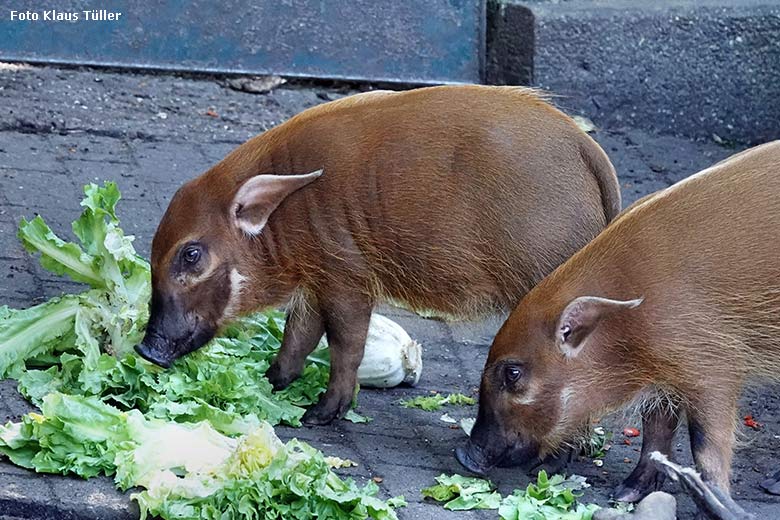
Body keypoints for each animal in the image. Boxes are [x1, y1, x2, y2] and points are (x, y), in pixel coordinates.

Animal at [136, 85, 620, 424]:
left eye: (191, 255)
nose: (145, 349)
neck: (285, 216)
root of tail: (589, 149)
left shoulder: (346, 275)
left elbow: (345, 342)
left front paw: (319, 415)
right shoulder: (315, 280)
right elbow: (298, 335)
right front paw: (271, 383)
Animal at [458, 140, 780, 506]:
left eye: (513, 373)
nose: (464, 456)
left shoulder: (712, 365)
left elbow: (706, 443)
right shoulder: (663, 372)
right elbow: (656, 429)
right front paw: (625, 494)